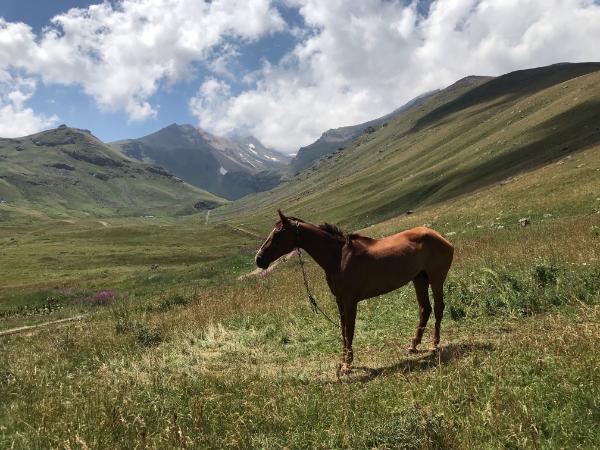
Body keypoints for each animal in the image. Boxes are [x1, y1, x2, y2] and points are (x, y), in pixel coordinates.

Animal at [254, 211, 454, 376]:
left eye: (278, 233)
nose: (259, 259)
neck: (338, 257)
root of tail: (440, 238)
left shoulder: (350, 301)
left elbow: (349, 330)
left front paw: (347, 364)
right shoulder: (340, 301)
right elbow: (343, 330)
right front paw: (343, 361)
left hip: (436, 279)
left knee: (438, 308)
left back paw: (434, 344)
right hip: (419, 279)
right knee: (425, 309)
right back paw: (413, 345)